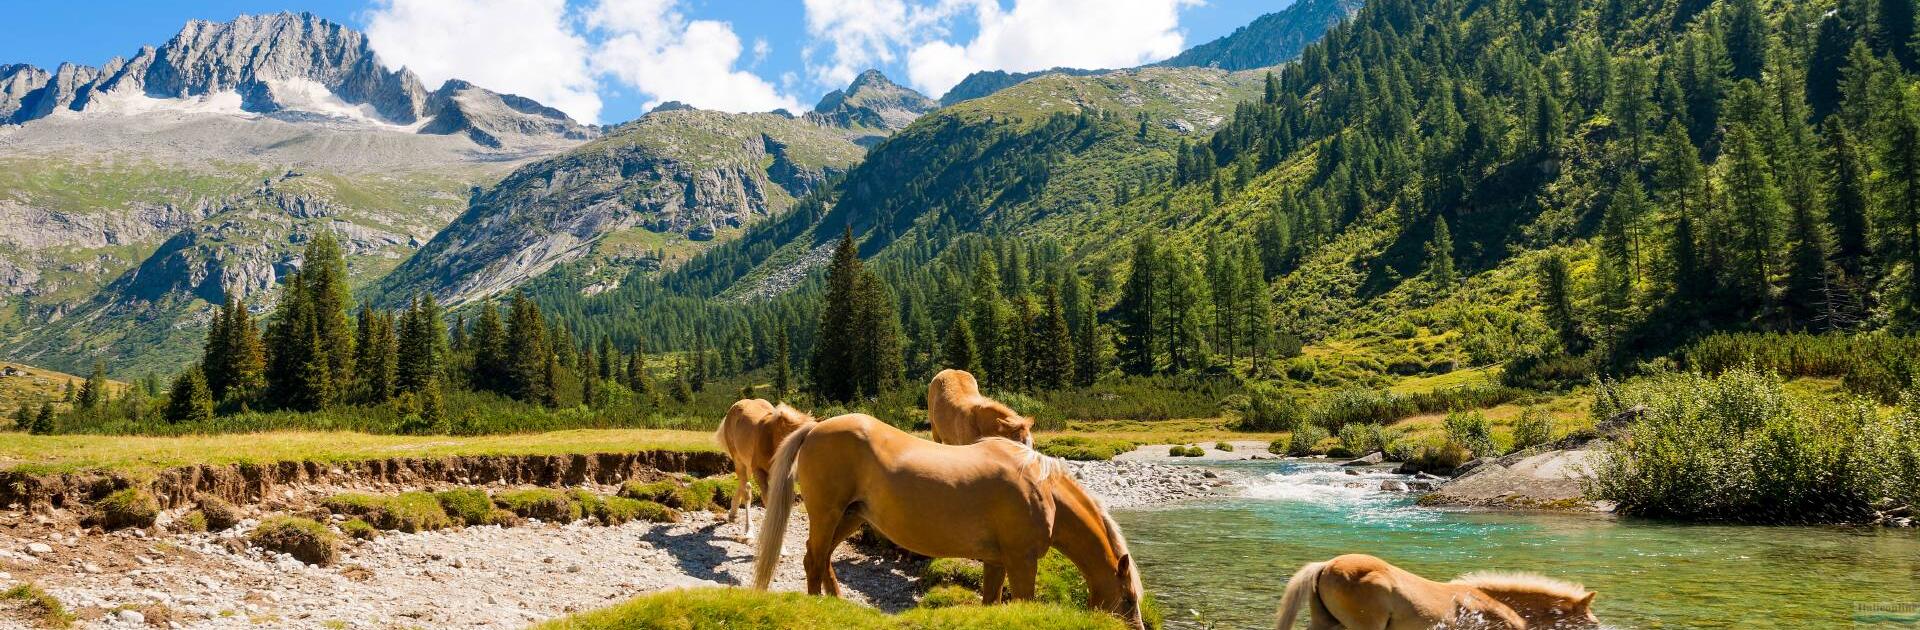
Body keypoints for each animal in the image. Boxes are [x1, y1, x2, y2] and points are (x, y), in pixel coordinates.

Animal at [718, 399, 814, 537]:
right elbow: (767, 500)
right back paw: (748, 529)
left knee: (742, 484)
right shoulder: (759, 472)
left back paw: (733, 515)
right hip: (738, 459)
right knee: (746, 489)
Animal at [748, 412, 1136, 630]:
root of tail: (814, 429)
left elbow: (991, 602)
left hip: (850, 517)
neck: (1041, 488)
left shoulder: (998, 561)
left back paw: (837, 603)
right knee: (814, 560)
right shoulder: (1022, 562)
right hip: (828, 515)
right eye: (1129, 600)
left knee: (822, 558)